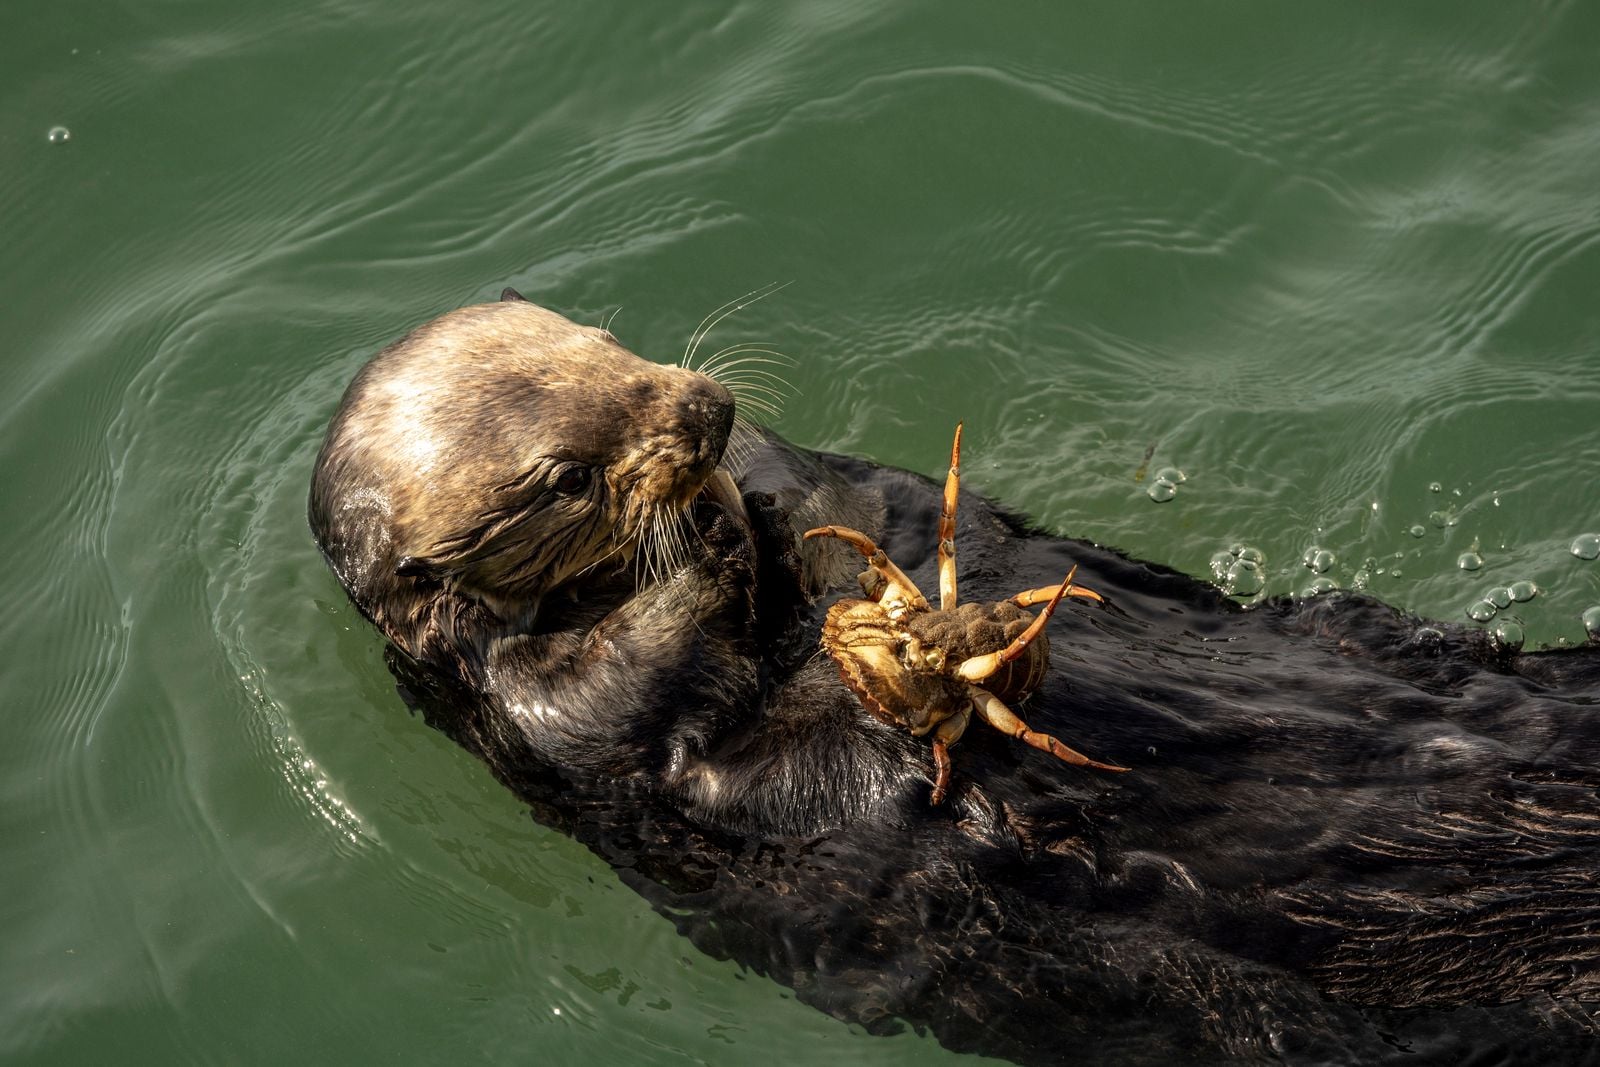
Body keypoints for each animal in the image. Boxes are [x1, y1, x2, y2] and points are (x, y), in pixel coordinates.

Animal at [310, 291, 1600, 1065]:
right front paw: (706, 546)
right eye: (567, 477)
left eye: (604, 341)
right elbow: (629, 708)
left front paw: (751, 501)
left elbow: (853, 503)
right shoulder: (518, 710)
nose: (707, 410)